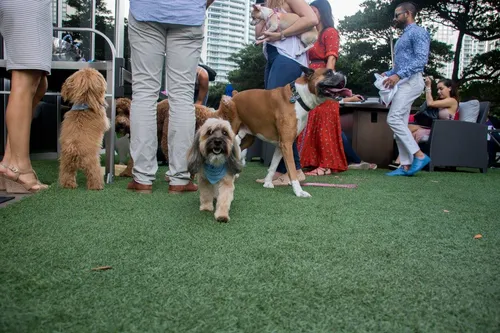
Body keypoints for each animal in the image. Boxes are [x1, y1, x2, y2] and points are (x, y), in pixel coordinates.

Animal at [229, 66, 350, 198]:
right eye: (328, 72)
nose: (343, 73)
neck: (298, 97)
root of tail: (235, 95)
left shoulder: (281, 145)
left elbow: (273, 165)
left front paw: (267, 182)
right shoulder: (287, 144)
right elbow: (292, 169)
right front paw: (299, 191)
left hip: (248, 138)